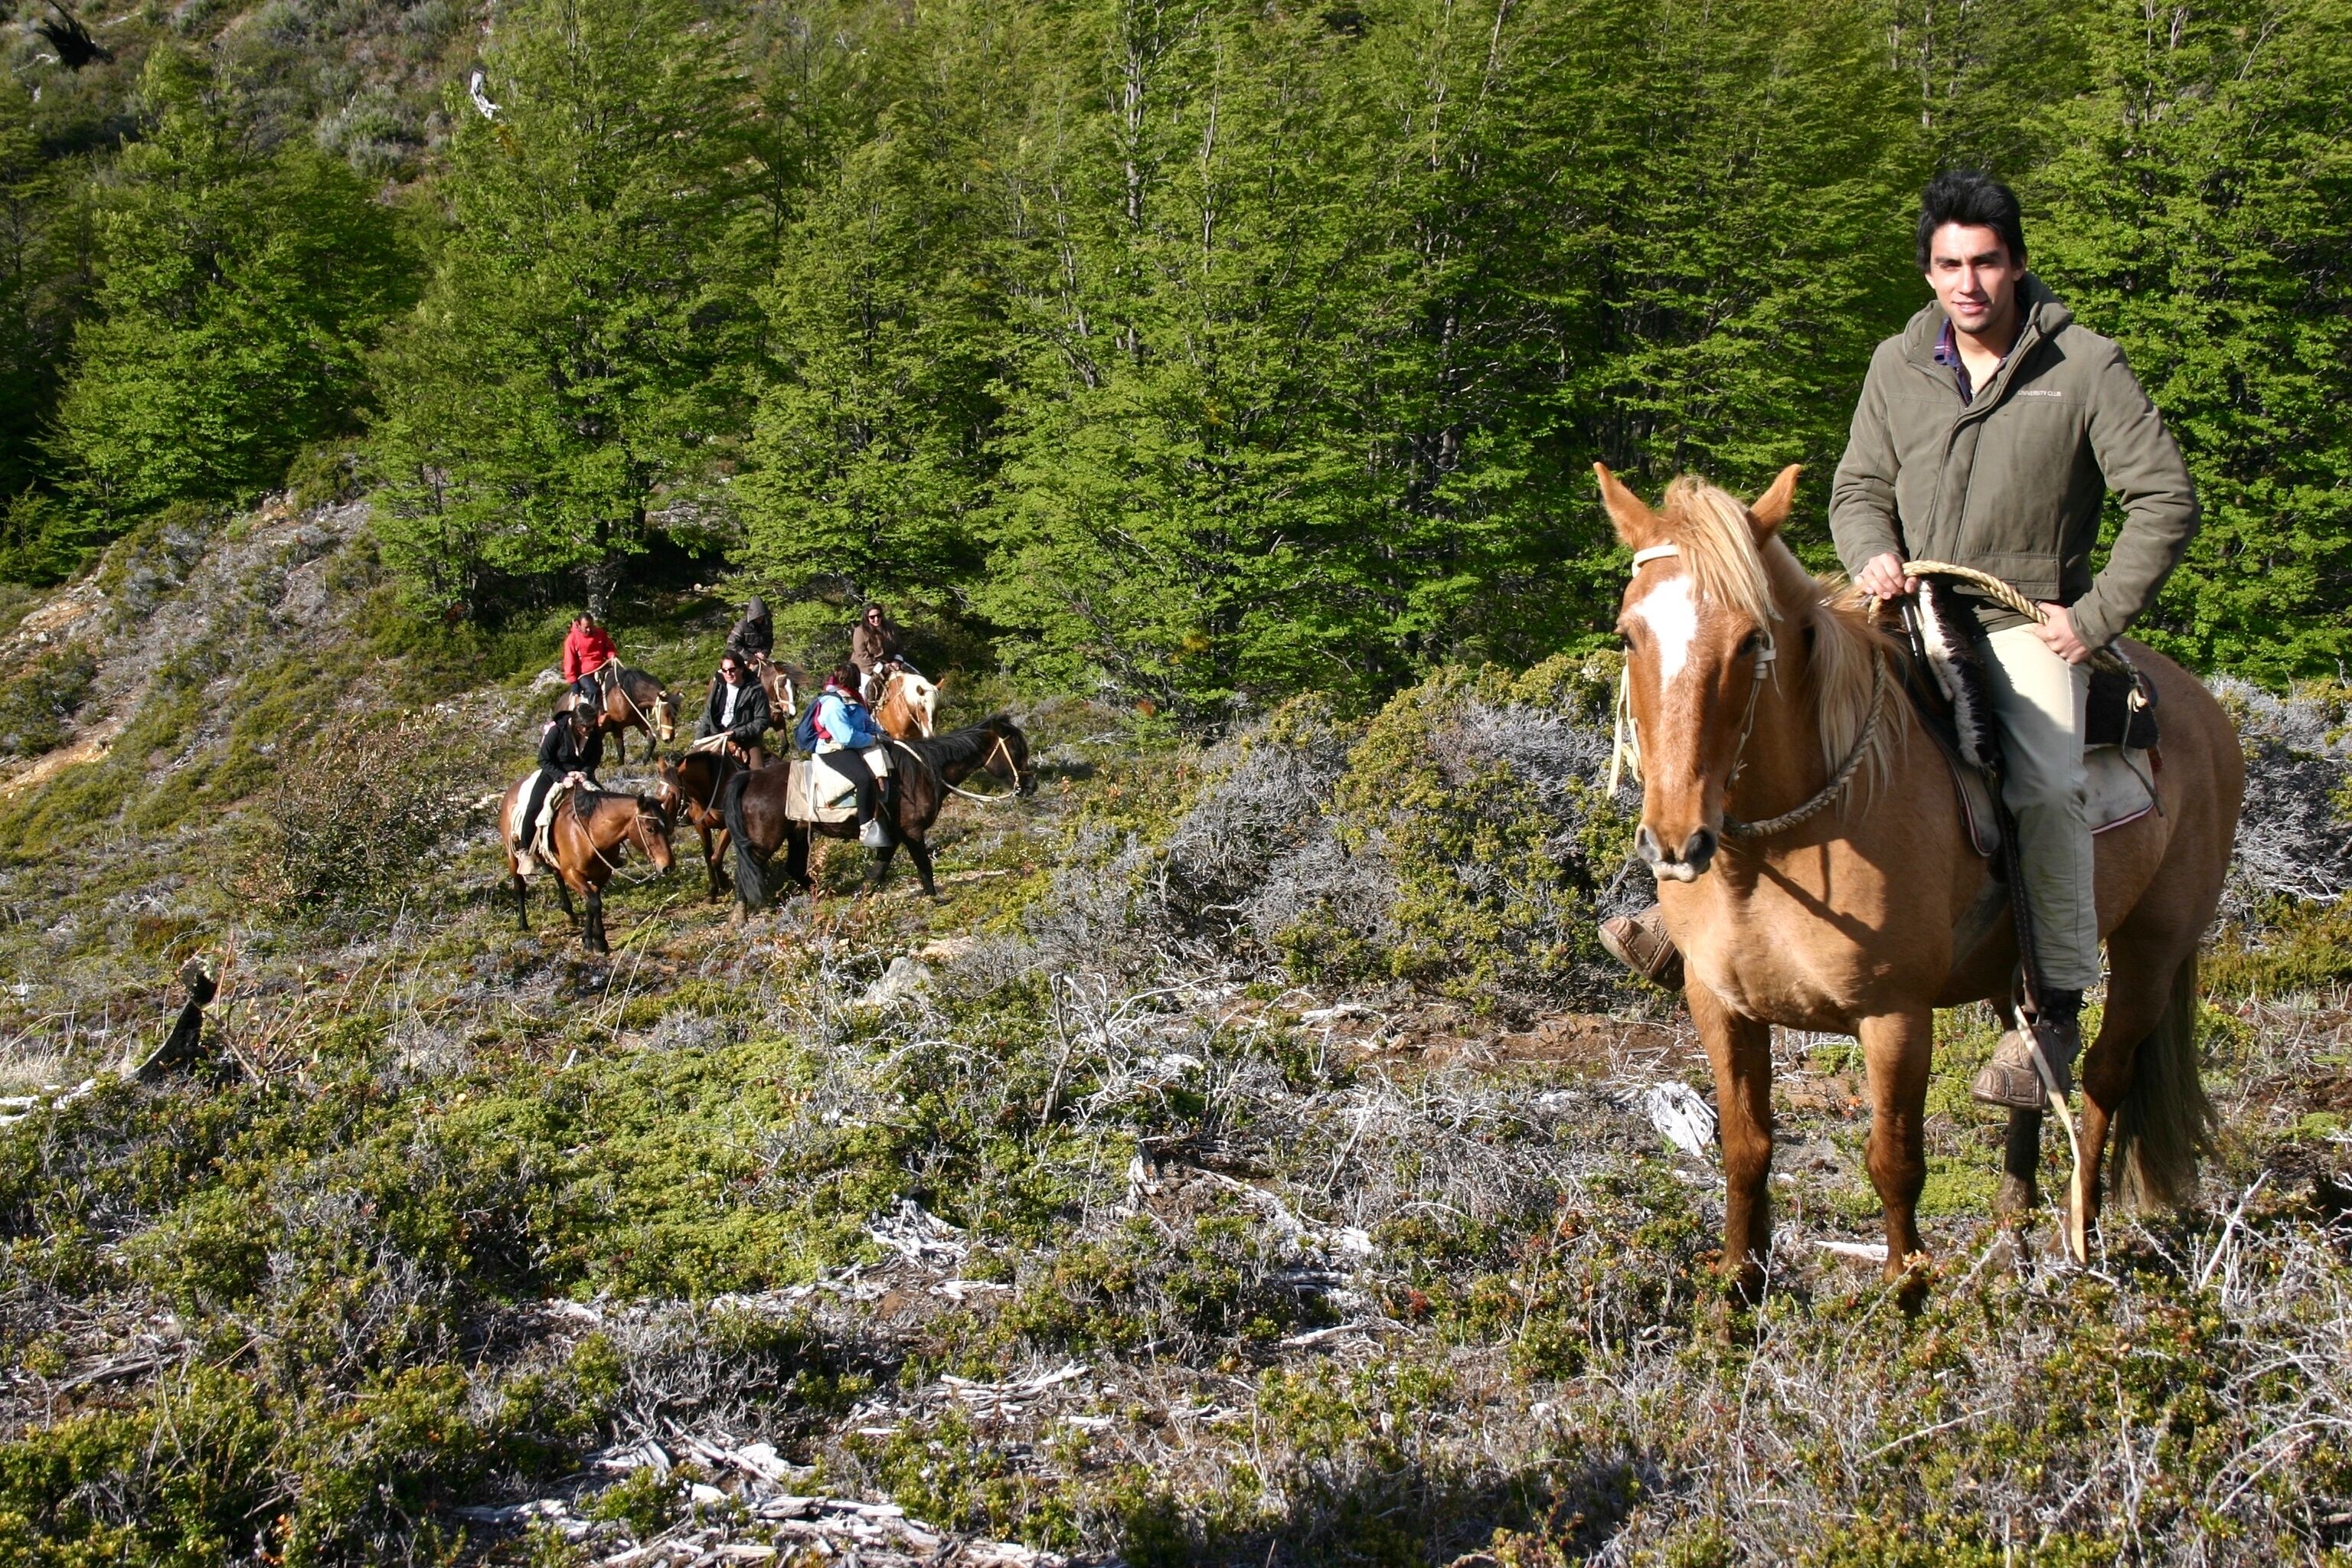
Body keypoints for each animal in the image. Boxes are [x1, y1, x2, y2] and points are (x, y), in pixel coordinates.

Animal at [497, 779, 677, 953]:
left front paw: (592, 940)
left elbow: (592, 903)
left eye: (668, 826)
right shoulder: (573, 874)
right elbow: (595, 903)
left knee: (557, 876)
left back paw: (570, 914)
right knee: (519, 886)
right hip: (512, 855)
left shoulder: (602, 874)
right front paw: (597, 943)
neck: (590, 834)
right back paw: (523, 924)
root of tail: (511, 790)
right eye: (650, 829)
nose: (667, 866)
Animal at [558, 662, 679, 765]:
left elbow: (651, 741)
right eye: (665, 713)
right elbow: (621, 750)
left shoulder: (639, 721)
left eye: (676, 713)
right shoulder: (616, 728)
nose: (670, 737)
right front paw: (621, 766)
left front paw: (645, 761)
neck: (627, 695)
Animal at [653, 749, 742, 900]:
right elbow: (709, 857)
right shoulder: (701, 827)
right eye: (657, 792)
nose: (663, 824)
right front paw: (713, 890)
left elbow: (716, 857)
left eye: (674, 795)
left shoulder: (728, 828)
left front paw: (724, 884)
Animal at [718, 715, 1033, 906]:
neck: (924, 770)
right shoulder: (911, 830)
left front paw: (862, 896)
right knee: (748, 871)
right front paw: (935, 898)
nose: (1030, 786)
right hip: (764, 841)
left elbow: (878, 869)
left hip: (796, 834)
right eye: (1018, 751)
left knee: (793, 868)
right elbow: (923, 865)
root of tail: (750, 778)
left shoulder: (891, 833)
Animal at [1598, 463, 2240, 1296]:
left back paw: (2079, 1240)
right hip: (2012, 968)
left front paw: (1908, 1294)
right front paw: (1739, 1291)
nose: (1676, 838)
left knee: (2103, 1076)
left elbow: (1895, 1163)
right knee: (2035, 1072)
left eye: (1751, 639)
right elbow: (1746, 1149)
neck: (1782, 848)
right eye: (1627, 633)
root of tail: (2202, 706)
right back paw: (2012, 1239)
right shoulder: (1722, 1007)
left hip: (2152, 947)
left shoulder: (1896, 1017)